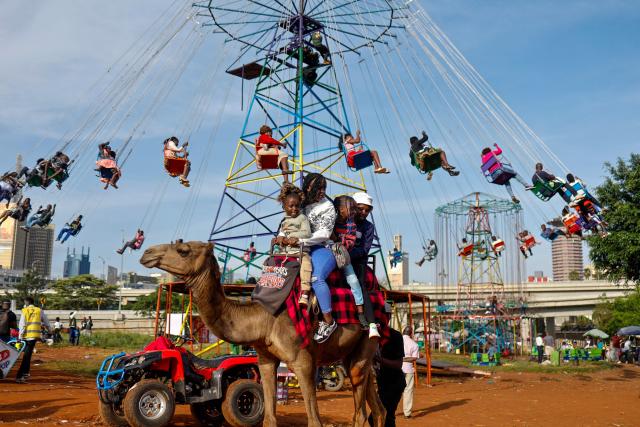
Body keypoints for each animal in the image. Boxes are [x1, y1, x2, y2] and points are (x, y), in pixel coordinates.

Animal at [141, 241, 384, 427]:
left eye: (183, 250)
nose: (147, 253)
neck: (264, 319)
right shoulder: (265, 359)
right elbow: (269, 418)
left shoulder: (303, 360)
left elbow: (315, 421)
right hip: (352, 354)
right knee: (376, 404)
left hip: (369, 338)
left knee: (361, 412)